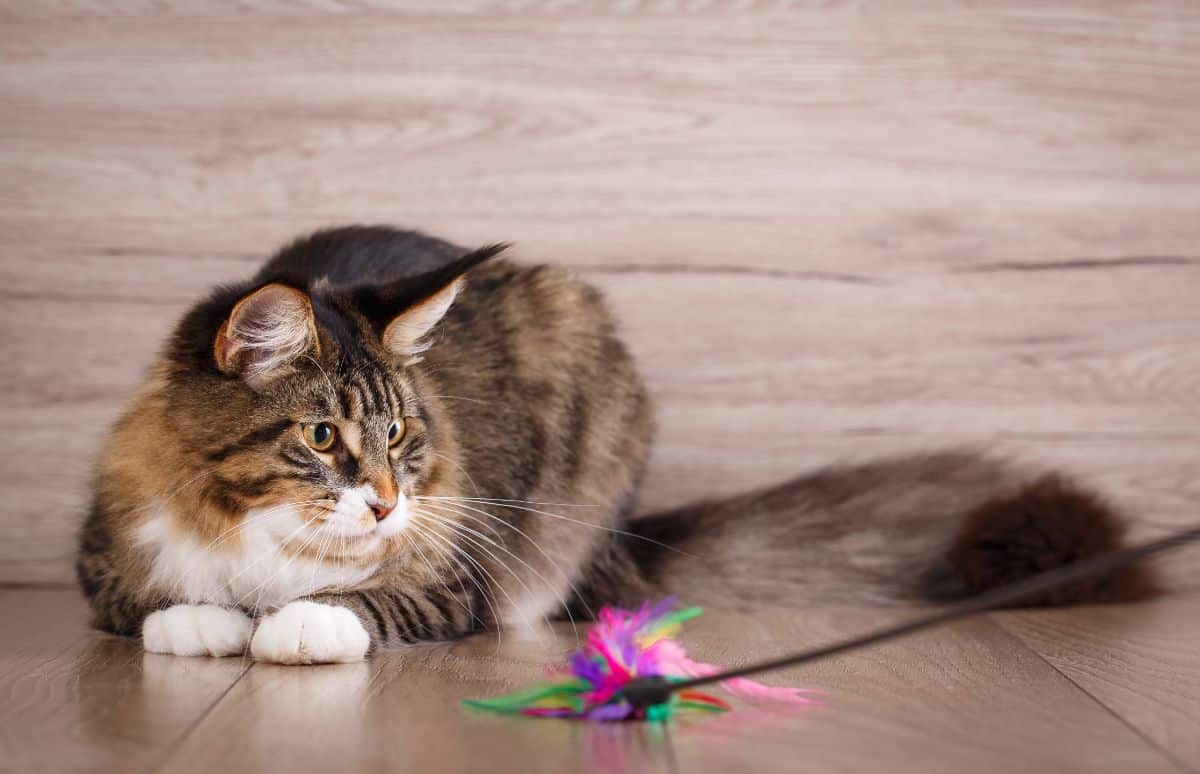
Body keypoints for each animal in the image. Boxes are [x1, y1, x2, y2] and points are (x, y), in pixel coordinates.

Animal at [75, 224, 1152, 662]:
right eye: (323, 435)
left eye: (402, 436)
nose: (386, 499)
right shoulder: (108, 550)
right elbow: (158, 602)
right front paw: (206, 622)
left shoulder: (452, 573)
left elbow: (359, 602)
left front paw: (297, 625)